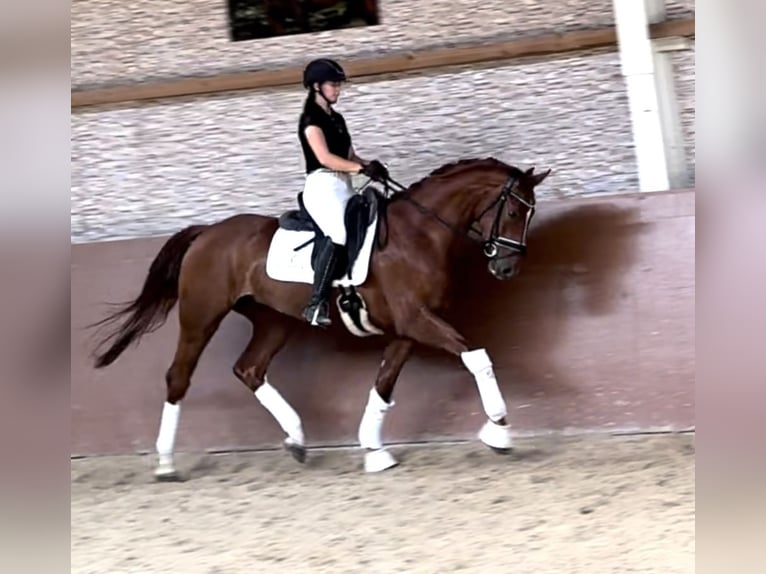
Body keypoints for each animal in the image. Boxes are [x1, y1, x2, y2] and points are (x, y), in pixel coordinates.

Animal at [90, 158, 552, 482]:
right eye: (514, 211)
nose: (507, 268)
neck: (418, 235)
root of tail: (207, 232)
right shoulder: (418, 320)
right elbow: (477, 356)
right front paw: (499, 430)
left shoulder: (408, 327)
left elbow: (384, 384)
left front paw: (374, 451)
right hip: (201, 315)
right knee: (179, 377)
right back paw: (166, 464)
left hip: (275, 320)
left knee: (249, 369)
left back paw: (296, 439)